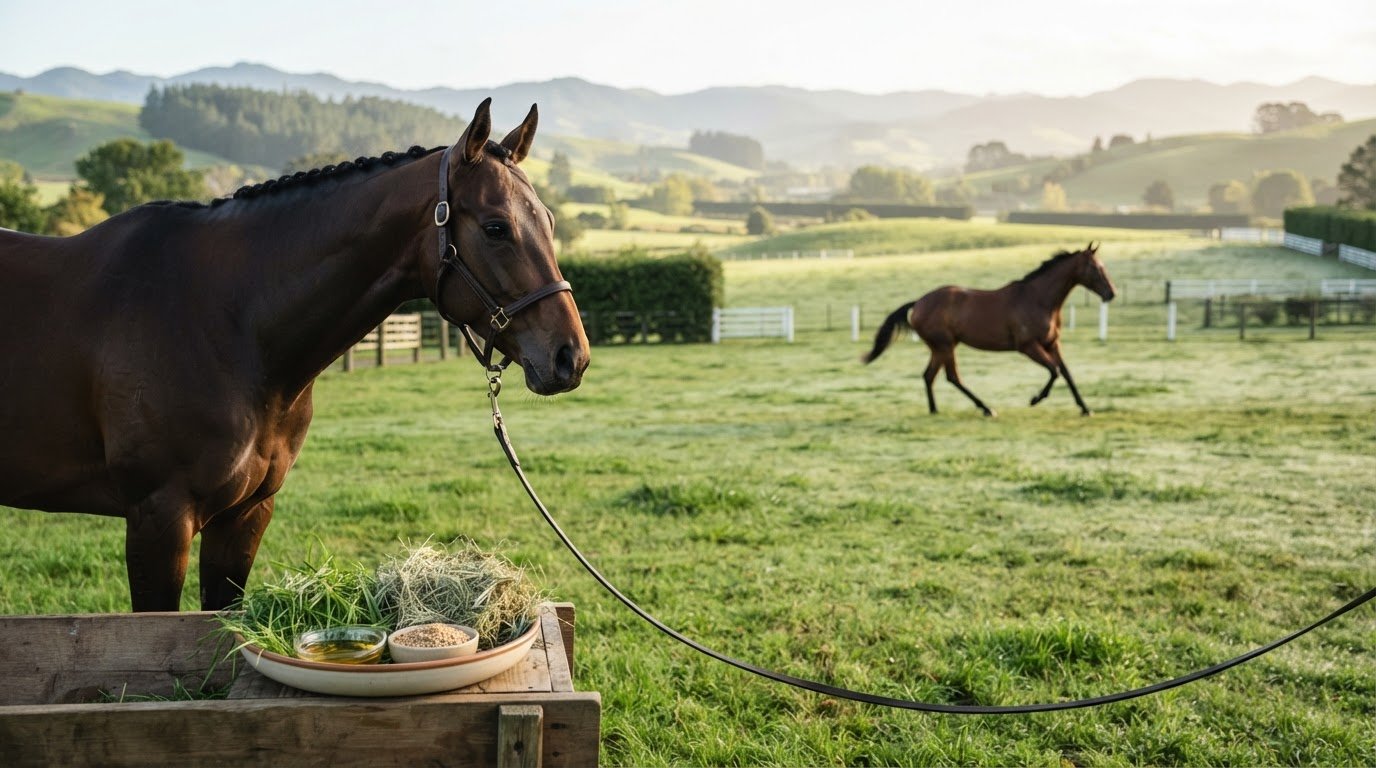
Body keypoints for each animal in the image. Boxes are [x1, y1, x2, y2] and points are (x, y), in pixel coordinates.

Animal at [0, 99, 590, 612]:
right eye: (496, 227)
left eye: (550, 221)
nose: (570, 357)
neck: (225, 320)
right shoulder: (158, 518)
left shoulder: (245, 514)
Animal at [862, 242, 1115, 417]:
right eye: (1095, 268)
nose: (1111, 294)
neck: (1039, 300)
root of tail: (918, 303)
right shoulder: (1028, 346)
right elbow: (1055, 371)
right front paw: (1035, 399)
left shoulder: (1052, 344)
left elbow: (1067, 374)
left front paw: (1086, 409)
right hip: (944, 345)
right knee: (952, 377)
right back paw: (986, 409)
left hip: (941, 347)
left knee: (929, 375)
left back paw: (935, 410)